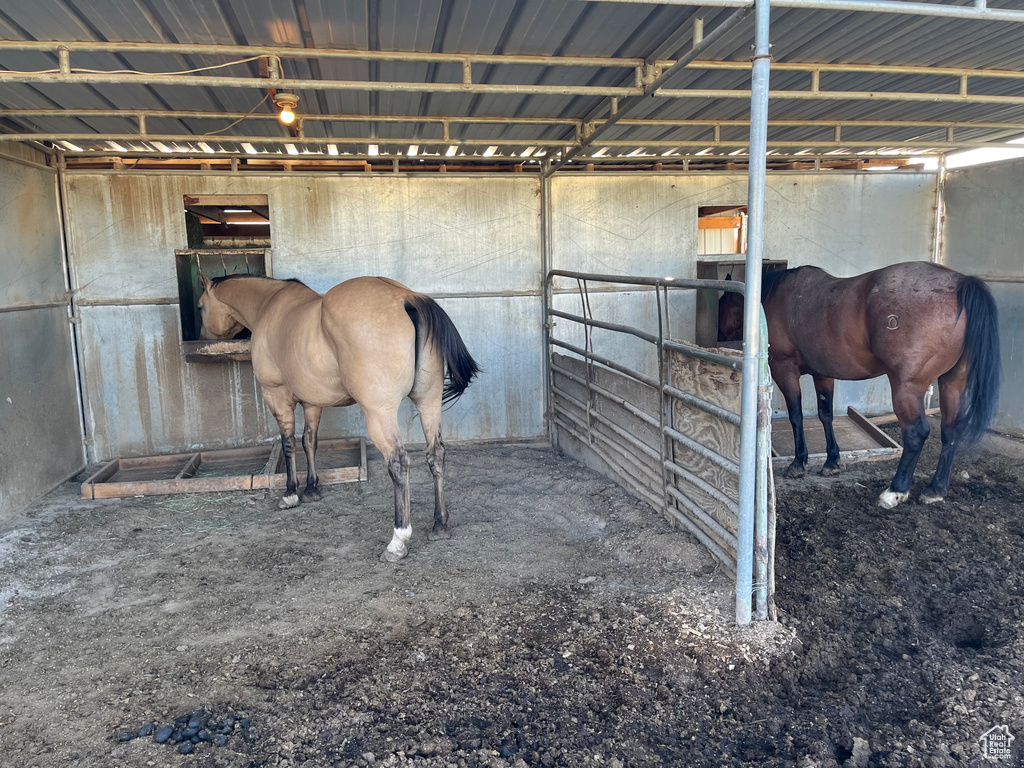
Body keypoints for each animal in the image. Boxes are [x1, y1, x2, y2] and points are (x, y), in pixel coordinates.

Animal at [198, 274, 479, 561]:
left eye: (200, 307)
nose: (201, 337)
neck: (269, 304)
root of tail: (406, 298)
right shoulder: (312, 402)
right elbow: (309, 442)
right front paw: (311, 489)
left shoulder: (276, 395)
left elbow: (288, 443)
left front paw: (291, 493)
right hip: (429, 403)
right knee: (436, 455)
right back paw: (440, 524)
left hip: (380, 414)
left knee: (399, 463)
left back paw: (398, 541)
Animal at [720, 264, 999, 512]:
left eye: (725, 304)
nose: (719, 333)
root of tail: (961, 284)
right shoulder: (823, 374)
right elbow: (826, 415)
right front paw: (832, 461)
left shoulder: (784, 370)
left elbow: (796, 416)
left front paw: (799, 463)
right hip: (952, 383)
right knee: (951, 431)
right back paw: (935, 490)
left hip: (907, 388)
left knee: (916, 433)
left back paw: (895, 491)